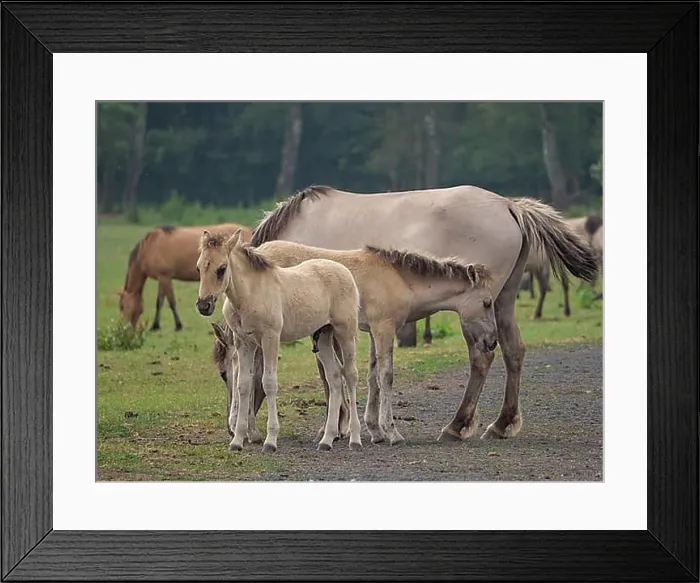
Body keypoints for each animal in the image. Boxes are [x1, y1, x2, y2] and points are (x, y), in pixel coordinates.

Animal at [118, 223, 253, 331]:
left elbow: (169, 302)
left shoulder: (164, 277)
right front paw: (156, 325)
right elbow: (160, 301)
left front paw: (177, 325)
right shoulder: (162, 278)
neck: (150, 246)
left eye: (123, 307)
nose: (126, 328)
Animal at [195, 228, 363, 453]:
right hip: (323, 336)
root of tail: (343, 270)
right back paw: (327, 439)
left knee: (350, 375)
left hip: (345, 332)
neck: (250, 294)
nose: (203, 305)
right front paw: (237, 441)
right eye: (198, 267)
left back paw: (355, 438)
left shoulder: (270, 338)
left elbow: (269, 383)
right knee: (335, 377)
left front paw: (270, 441)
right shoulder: (243, 343)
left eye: (222, 269)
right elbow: (244, 384)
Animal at [210, 239, 497, 446]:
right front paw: (391, 433)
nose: (492, 341)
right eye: (486, 302)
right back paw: (248, 432)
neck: (397, 277)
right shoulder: (383, 328)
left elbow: (372, 376)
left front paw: (374, 431)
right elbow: (386, 376)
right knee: (246, 372)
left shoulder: (372, 331)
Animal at [249, 184, 598, 441]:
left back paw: (457, 425)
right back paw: (501, 424)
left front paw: (337, 427)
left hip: (476, 313)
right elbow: (369, 371)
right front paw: (367, 427)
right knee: (514, 351)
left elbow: (331, 373)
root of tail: (510, 206)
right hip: (503, 300)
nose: (244, 430)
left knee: (482, 356)